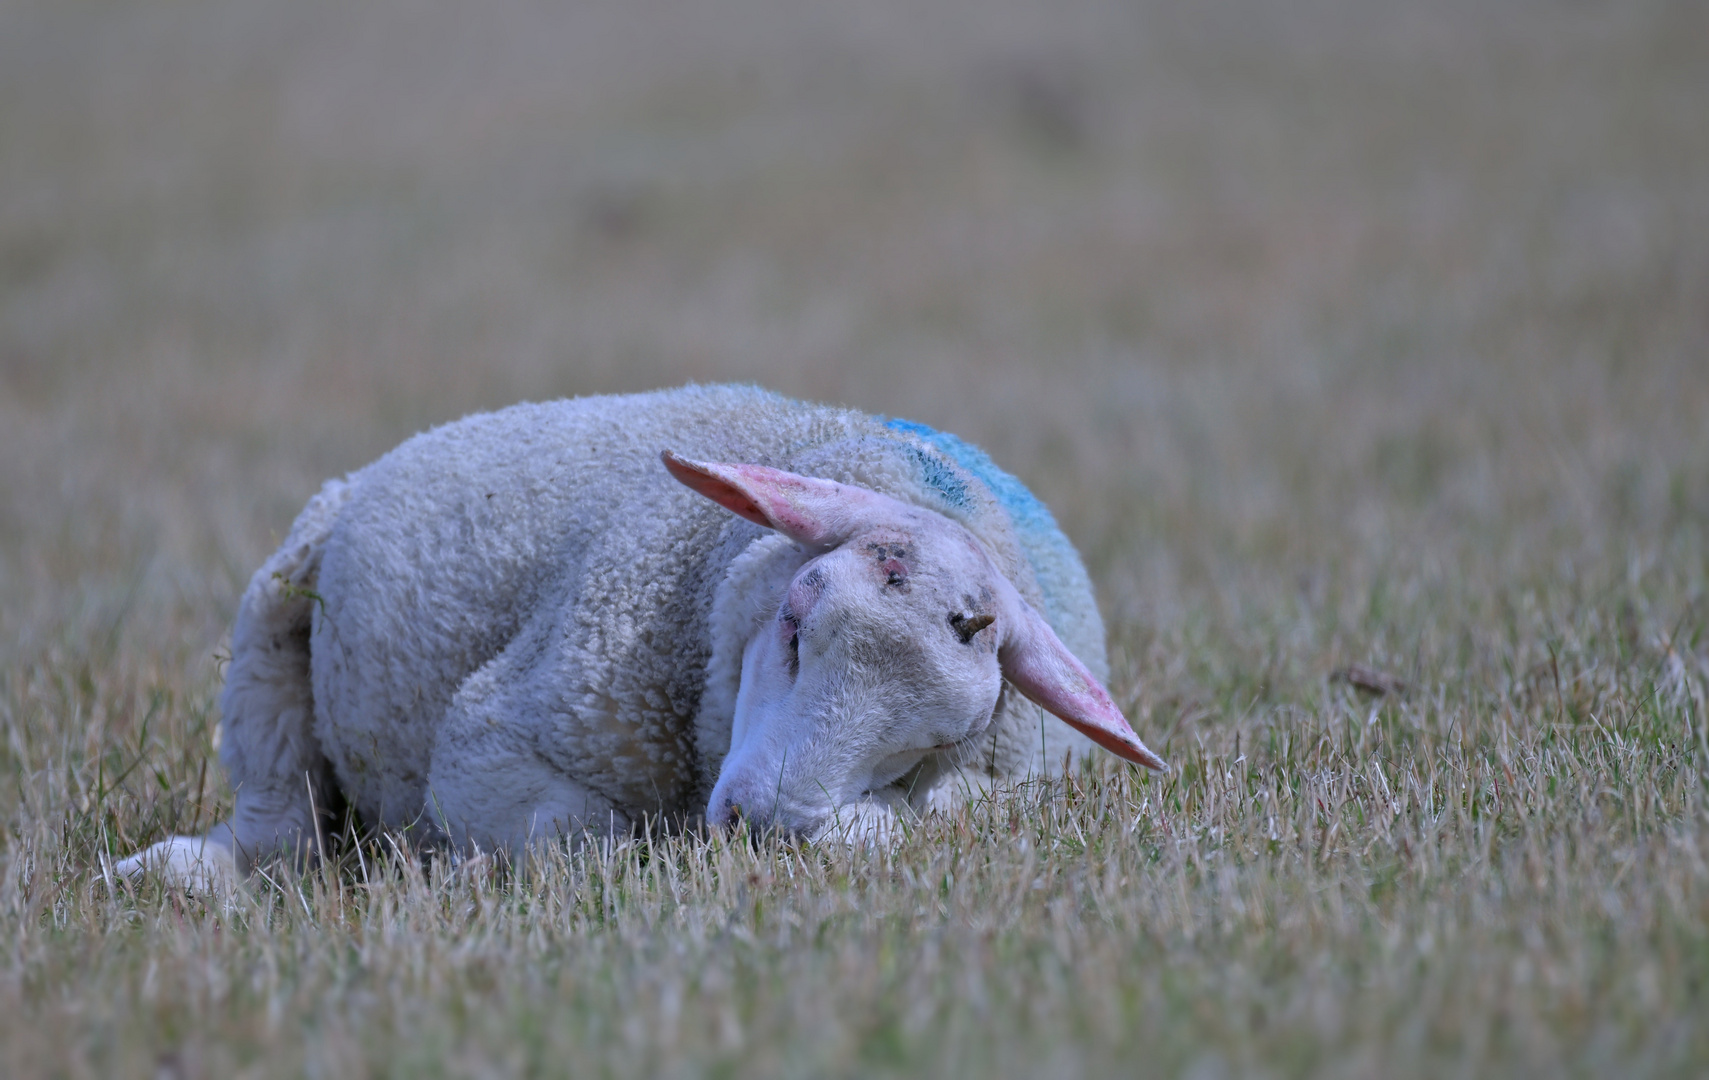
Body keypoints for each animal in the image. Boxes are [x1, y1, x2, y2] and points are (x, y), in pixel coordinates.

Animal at [117, 384, 1162, 888]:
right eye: (795, 617)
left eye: (927, 746)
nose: (758, 826)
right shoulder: (492, 739)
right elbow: (588, 834)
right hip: (273, 620)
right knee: (282, 826)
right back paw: (177, 874)